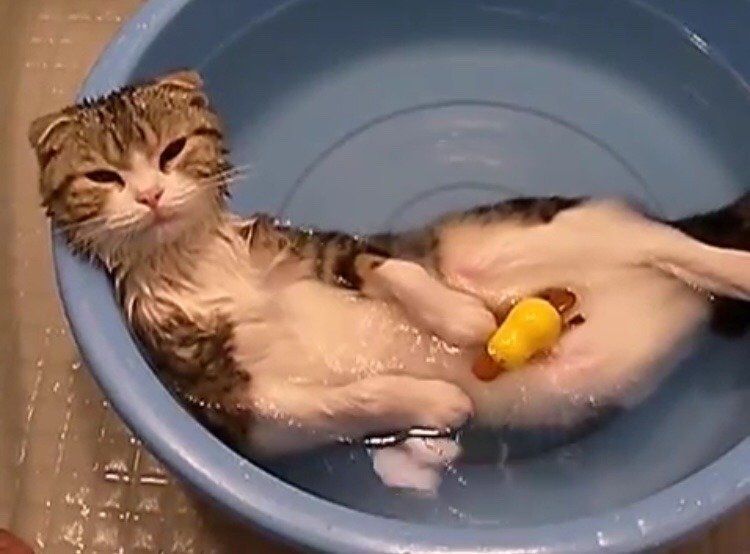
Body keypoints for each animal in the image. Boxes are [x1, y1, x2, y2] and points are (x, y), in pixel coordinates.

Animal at [30, 70, 750, 465]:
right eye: (104, 177)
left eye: (173, 151)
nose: (151, 196)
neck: (192, 260)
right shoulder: (228, 404)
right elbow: (328, 406)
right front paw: (436, 399)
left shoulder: (315, 248)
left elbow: (383, 266)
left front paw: (459, 318)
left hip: (544, 228)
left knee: (664, 241)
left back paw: (733, 265)